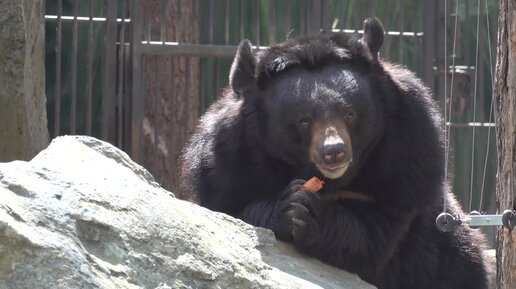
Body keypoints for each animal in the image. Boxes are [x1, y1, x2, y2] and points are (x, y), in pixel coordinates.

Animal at [180, 17, 488, 288]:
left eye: (349, 114)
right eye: (303, 121)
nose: (334, 152)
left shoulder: (409, 159)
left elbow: (374, 233)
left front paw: (313, 214)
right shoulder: (225, 165)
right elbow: (231, 212)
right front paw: (288, 206)